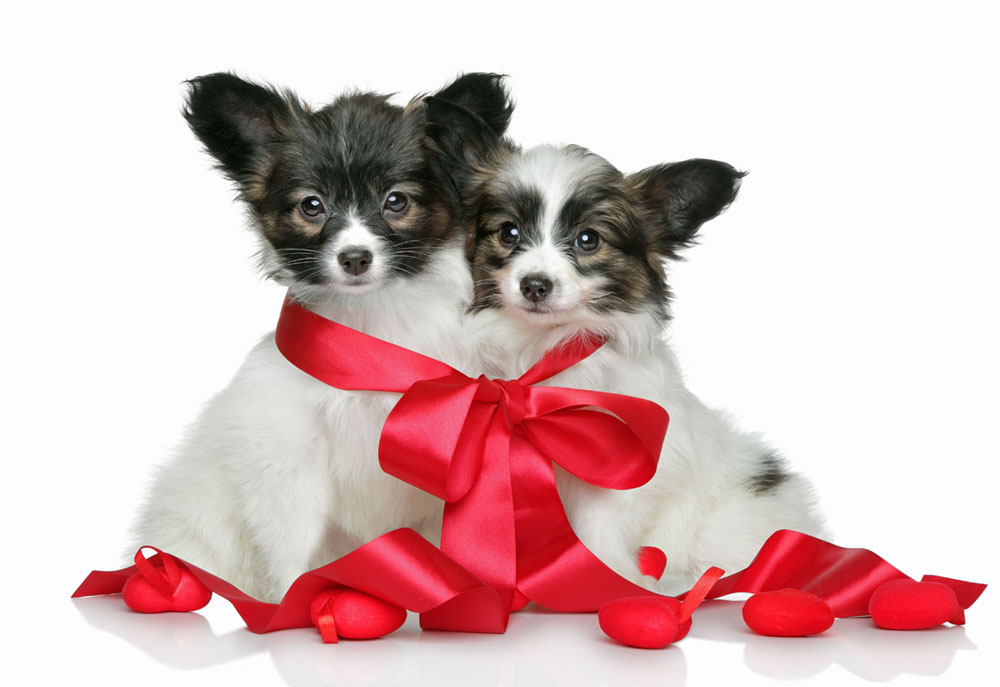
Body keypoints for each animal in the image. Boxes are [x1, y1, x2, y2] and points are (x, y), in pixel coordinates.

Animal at [129, 72, 512, 604]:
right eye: (312, 206)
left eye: (396, 201)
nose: (354, 258)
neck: (371, 333)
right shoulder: (287, 462)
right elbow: (293, 547)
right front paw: (293, 604)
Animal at [430, 110, 828, 592]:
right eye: (508, 232)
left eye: (588, 240)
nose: (534, 285)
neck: (544, 349)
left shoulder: (621, 465)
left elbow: (599, 526)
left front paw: (597, 580)